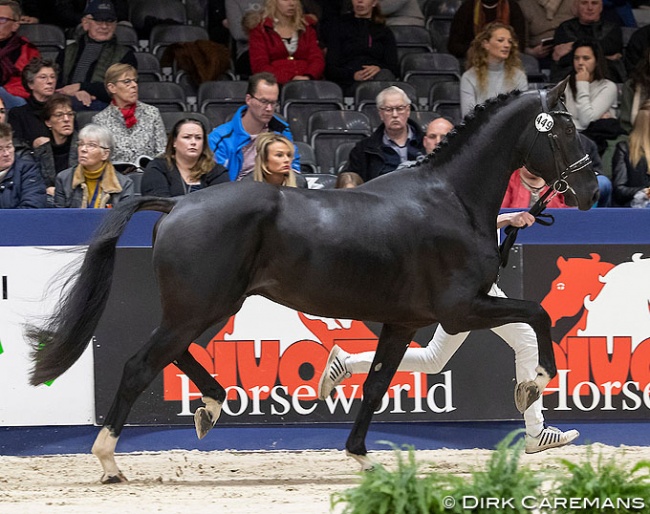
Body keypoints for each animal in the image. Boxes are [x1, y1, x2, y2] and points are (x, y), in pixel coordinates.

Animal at [26, 78, 596, 482]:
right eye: (566, 130)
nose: (591, 189)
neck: (450, 199)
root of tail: (177, 203)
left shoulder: (404, 322)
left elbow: (376, 384)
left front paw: (362, 456)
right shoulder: (462, 309)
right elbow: (538, 314)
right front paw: (534, 382)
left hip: (203, 307)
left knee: (172, 354)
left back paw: (209, 407)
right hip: (202, 306)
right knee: (142, 363)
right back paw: (110, 460)